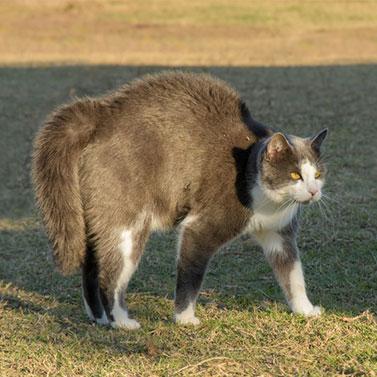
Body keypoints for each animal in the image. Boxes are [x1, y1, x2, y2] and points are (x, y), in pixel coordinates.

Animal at [32, 71, 326, 328]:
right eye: (295, 174)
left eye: (318, 174)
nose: (313, 191)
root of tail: (102, 113)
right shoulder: (200, 228)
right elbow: (190, 277)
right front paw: (185, 318)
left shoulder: (280, 234)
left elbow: (293, 275)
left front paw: (305, 309)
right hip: (127, 224)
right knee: (109, 275)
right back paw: (122, 321)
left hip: (98, 218)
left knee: (91, 266)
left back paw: (100, 318)